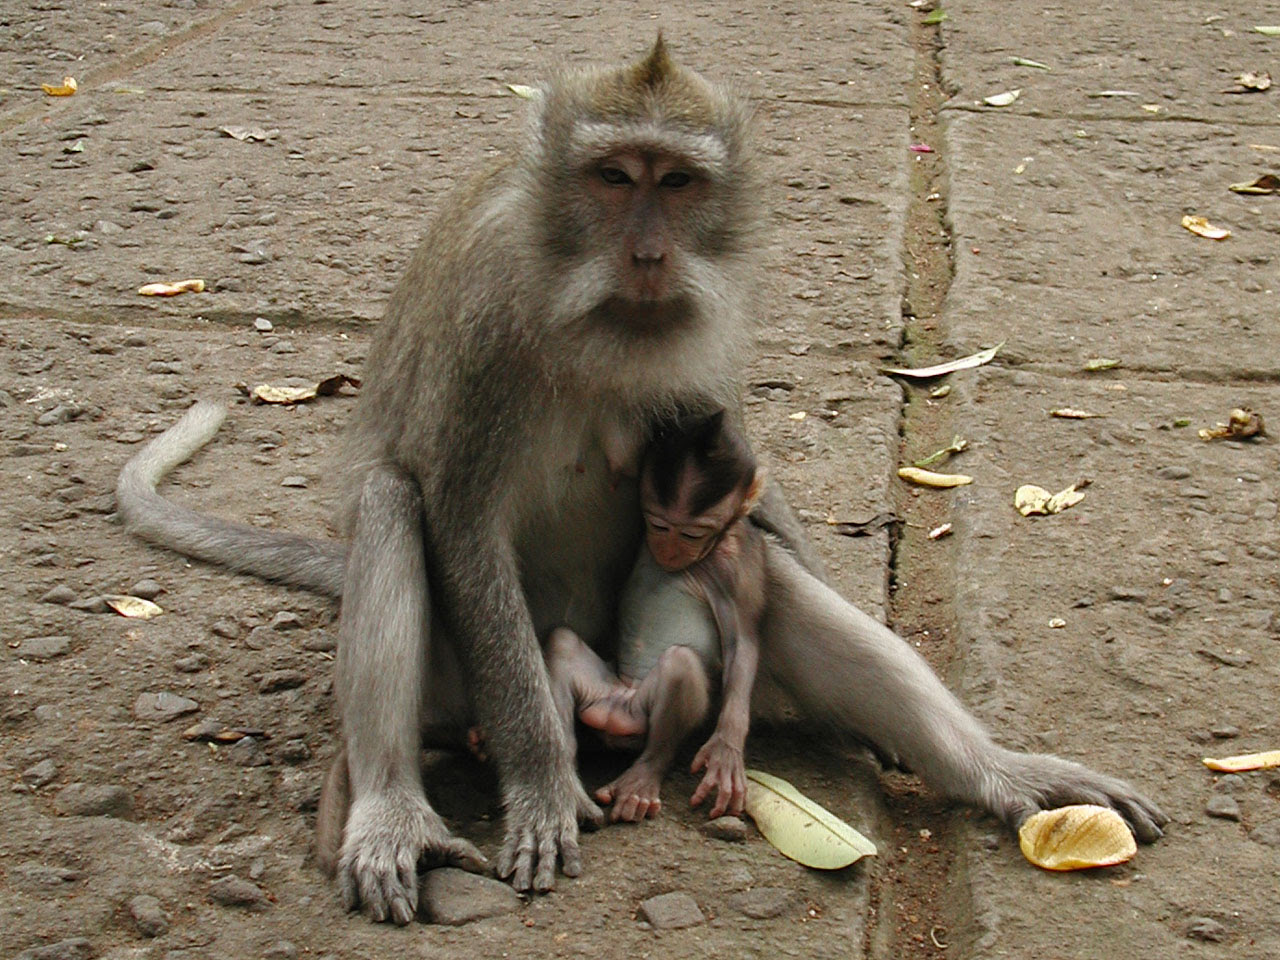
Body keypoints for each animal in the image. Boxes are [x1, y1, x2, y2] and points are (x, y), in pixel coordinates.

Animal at [545, 409, 762, 824]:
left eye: (692, 534)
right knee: (562, 644)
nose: (669, 549)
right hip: (602, 690)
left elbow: (742, 641)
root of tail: (617, 705)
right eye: (658, 524)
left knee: (680, 665)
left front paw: (727, 744)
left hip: (638, 716)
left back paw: (643, 778)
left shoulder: (738, 560)